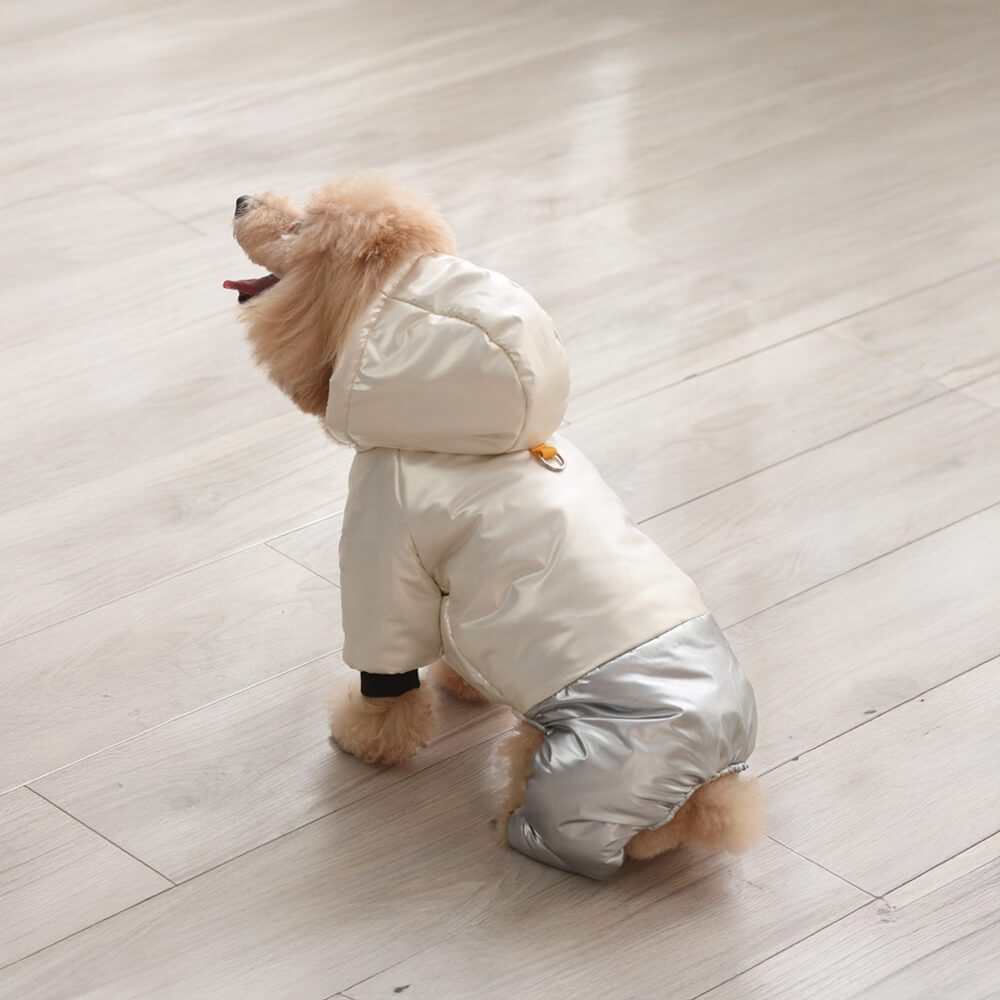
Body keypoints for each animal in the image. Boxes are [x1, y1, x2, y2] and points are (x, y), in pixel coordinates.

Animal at [227, 176, 764, 880]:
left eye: (300, 228)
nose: (239, 200)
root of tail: (707, 785)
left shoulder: (385, 540)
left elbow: (387, 673)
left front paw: (363, 737)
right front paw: (463, 684)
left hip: (572, 776)